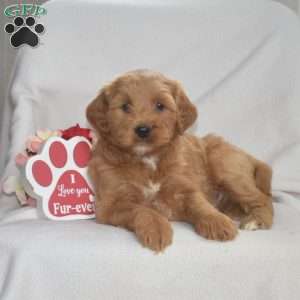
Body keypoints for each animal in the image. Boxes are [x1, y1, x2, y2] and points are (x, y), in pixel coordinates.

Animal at [85, 69, 274, 252]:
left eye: (160, 106)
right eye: (125, 106)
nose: (143, 129)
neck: (148, 159)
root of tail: (250, 157)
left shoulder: (184, 186)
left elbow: (200, 204)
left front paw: (217, 221)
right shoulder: (110, 205)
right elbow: (141, 209)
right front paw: (157, 228)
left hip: (226, 167)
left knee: (262, 197)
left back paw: (255, 220)